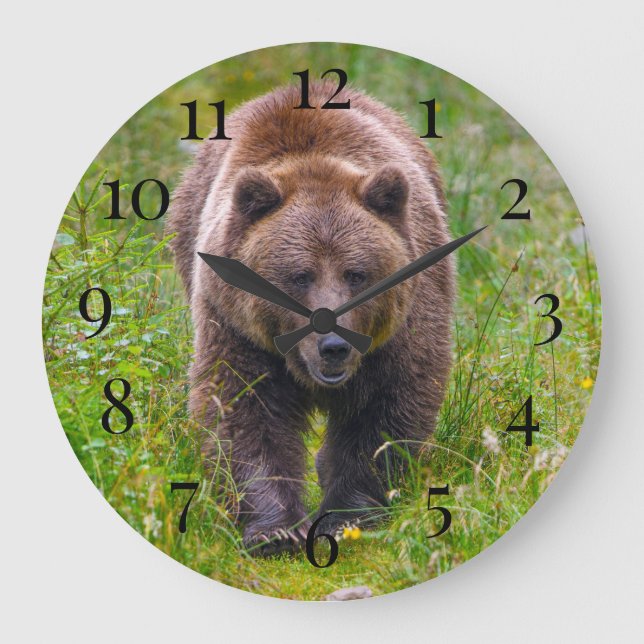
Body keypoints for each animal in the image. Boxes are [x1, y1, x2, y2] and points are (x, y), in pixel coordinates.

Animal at [167, 81, 455, 555]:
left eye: (356, 274)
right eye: (299, 276)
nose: (334, 345)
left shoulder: (406, 322)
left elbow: (386, 404)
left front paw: (349, 515)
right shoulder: (236, 325)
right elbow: (243, 408)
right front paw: (275, 529)